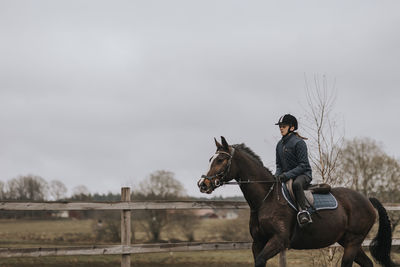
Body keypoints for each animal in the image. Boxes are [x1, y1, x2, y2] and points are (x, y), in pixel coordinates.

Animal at [198, 138, 396, 267]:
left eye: (221, 159)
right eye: (210, 159)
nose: (202, 184)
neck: (266, 199)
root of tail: (367, 199)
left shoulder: (278, 241)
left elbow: (261, 260)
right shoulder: (258, 242)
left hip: (353, 242)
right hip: (348, 241)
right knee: (368, 263)